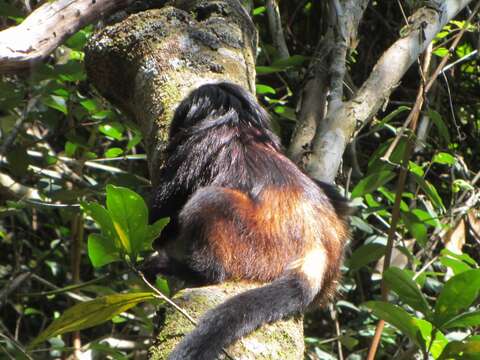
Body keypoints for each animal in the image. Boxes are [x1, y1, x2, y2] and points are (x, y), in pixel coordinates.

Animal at [148, 82, 350, 360]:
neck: (238, 122)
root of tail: (315, 250)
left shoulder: (199, 146)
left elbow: (160, 215)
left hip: (254, 244)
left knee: (208, 200)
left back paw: (193, 269)